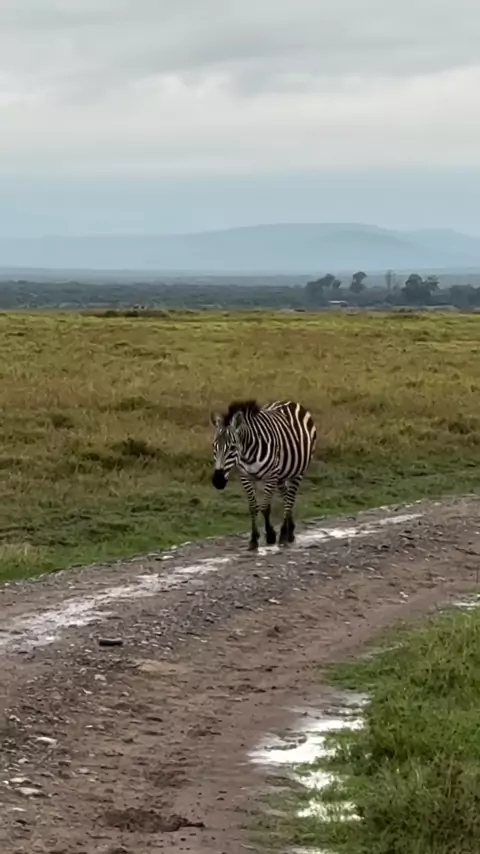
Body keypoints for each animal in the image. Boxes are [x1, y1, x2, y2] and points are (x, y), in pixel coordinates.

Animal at [210, 399, 316, 551]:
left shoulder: (270, 476)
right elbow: (253, 507)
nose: (218, 481)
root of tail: (289, 402)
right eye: (214, 446)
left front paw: (271, 535)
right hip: (282, 475)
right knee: (286, 496)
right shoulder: (246, 476)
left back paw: (284, 534)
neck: (247, 453)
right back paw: (290, 530)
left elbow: (265, 508)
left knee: (290, 499)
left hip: (298, 471)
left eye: (232, 447)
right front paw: (254, 539)